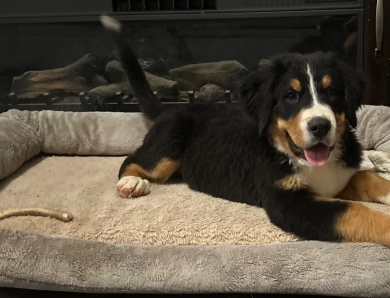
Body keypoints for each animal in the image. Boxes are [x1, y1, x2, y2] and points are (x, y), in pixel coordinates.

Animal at [101, 15, 390, 247]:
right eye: (291, 96)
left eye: (332, 92)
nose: (320, 126)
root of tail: (170, 109)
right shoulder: (288, 202)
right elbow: (352, 211)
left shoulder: (341, 178)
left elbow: (368, 178)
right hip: (168, 146)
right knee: (133, 160)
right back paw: (132, 183)